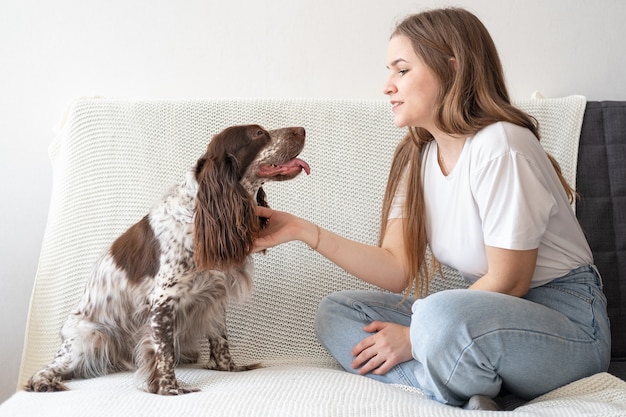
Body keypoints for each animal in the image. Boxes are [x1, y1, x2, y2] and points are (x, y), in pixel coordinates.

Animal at [25, 123, 308, 394]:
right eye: (258, 133)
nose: (302, 130)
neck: (198, 214)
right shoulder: (163, 299)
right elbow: (164, 351)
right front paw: (169, 388)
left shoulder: (215, 295)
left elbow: (220, 339)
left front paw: (229, 368)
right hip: (90, 337)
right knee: (46, 369)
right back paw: (44, 382)